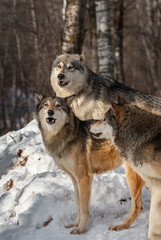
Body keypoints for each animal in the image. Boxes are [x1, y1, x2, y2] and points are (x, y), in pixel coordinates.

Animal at [34, 93, 144, 234]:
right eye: (46, 105)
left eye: (58, 106)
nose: (50, 112)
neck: (66, 137)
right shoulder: (75, 179)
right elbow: (78, 204)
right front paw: (75, 224)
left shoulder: (84, 178)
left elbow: (84, 207)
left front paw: (80, 229)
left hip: (133, 177)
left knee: (138, 206)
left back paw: (121, 226)